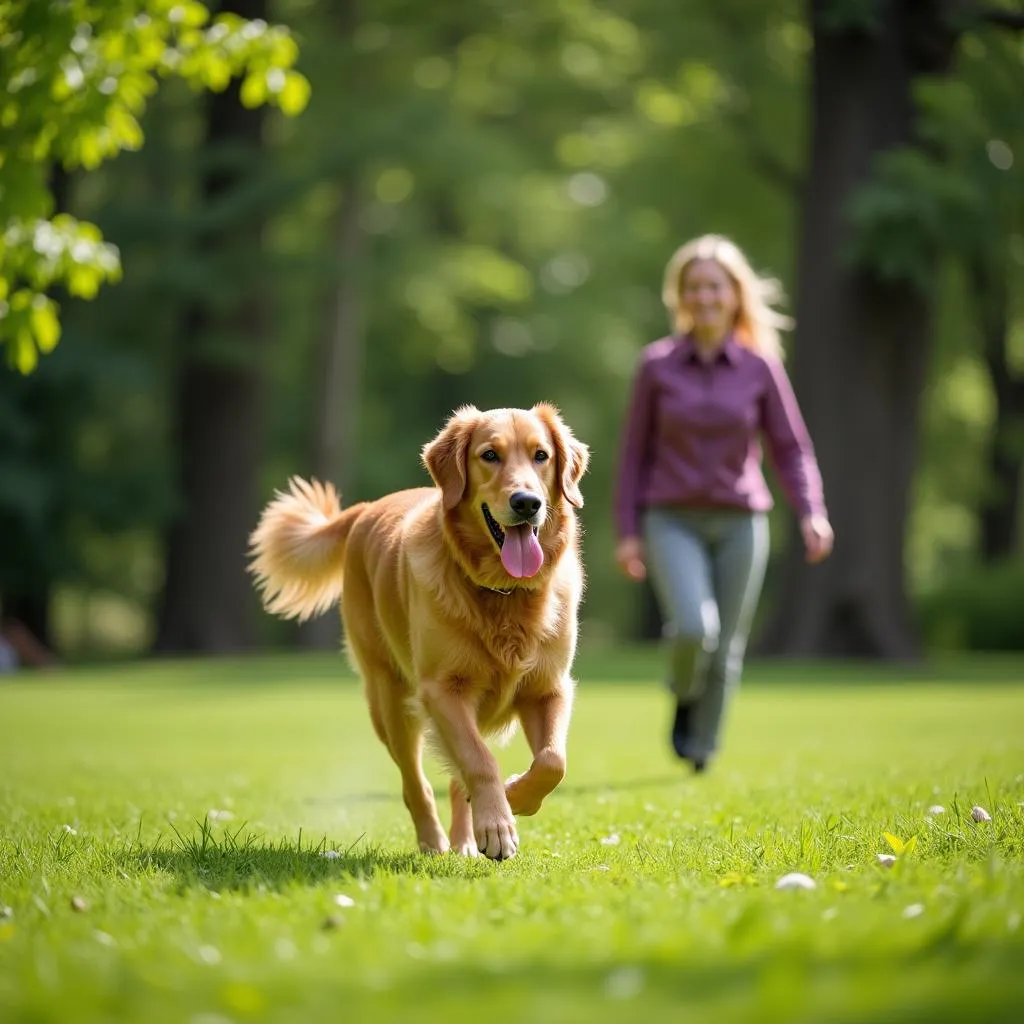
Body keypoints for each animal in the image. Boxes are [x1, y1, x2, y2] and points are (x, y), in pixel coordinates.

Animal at [246, 403, 593, 860]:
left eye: (541, 456)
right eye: (490, 455)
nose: (527, 503)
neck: (501, 591)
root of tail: (364, 508)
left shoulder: (548, 687)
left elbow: (553, 761)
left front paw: (513, 798)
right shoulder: (441, 689)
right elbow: (480, 762)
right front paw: (498, 823)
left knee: (456, 780)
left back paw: (466, 839)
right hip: (390, 699)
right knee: (416, 782)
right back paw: (435, 840)